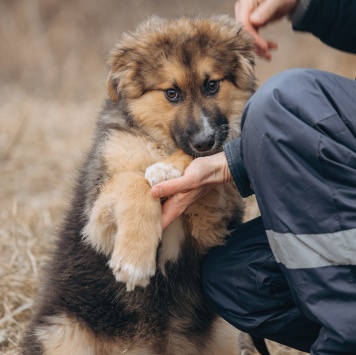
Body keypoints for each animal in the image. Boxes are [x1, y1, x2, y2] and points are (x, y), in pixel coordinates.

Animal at [21, 14, 256, 355]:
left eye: (212, 85)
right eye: (171, 93)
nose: (205, 141)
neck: (158, 142)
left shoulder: (210, 227)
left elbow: (195, 168)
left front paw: (169, 168)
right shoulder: (98, 213)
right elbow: (133, 181)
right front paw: (133, 259)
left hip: (224, 334)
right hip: (61, 332)